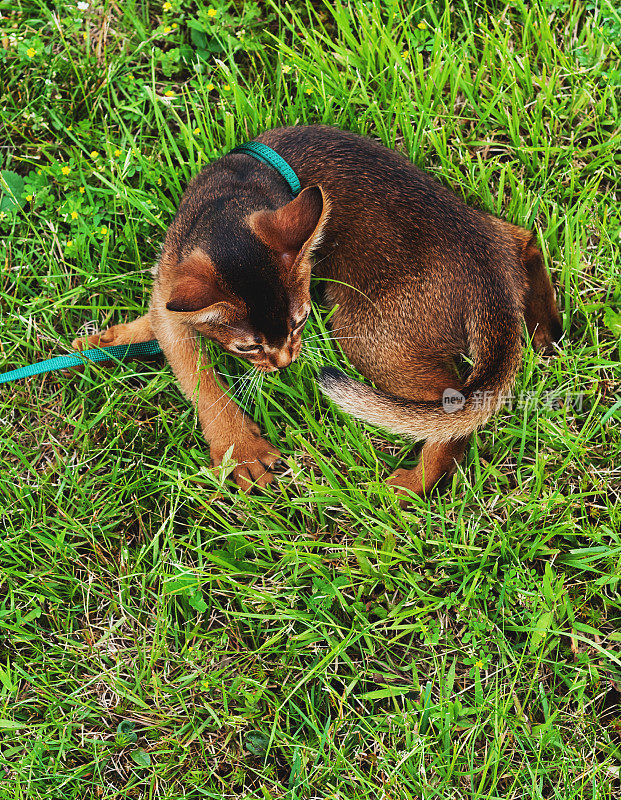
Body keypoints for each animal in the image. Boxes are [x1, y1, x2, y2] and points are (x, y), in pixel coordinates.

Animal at [72, 126, 560, 500]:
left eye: (302, 320)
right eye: (248, 347)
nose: (286, 362)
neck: (225, 205)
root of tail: (490, 281)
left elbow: (200, 382)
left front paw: (239, 452)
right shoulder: (168, 292)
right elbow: (174, 346)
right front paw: (102, 343)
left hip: (365, 332)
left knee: (452, 411)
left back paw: (411, 487)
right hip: (489, 235)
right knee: (524, 237)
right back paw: (544, 327)